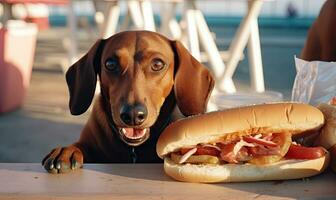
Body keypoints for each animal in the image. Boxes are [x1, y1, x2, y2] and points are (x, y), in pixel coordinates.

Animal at [42, 30, 214, 173]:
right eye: (110, 64)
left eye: (158, 64)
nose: (132, 115)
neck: (133, 150)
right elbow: (79, 146)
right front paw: (66, 151)